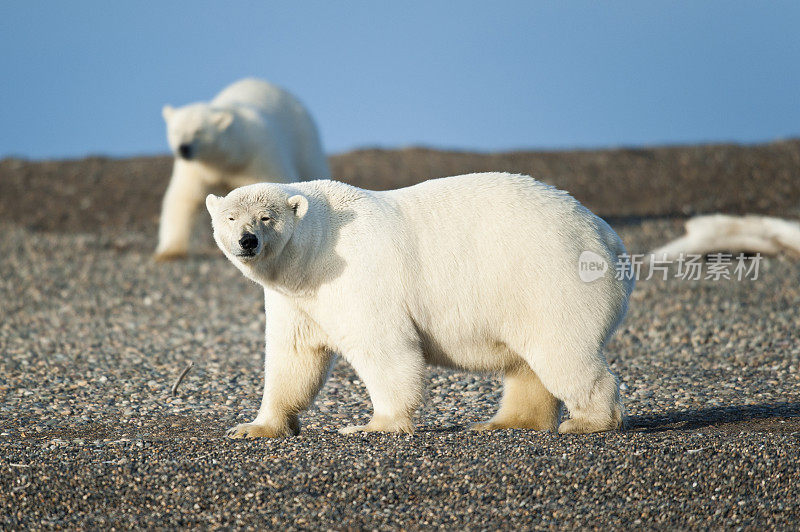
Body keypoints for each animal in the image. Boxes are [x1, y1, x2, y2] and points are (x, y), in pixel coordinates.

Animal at [155, 78, 330, 260]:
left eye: (199, 131)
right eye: (175, 131)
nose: (183, 148)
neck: (229, 159)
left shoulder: (259, 158)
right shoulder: (196, 169)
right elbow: (182, 199)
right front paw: (170, 252)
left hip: (303, 138)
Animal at [206, 172, 636, 438]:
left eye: (266, 217)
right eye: (231, 217)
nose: (247, 241)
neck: (318, 246)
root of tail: (608, 237)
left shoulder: (359, 275)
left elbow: (383, 346)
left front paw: (373, 425)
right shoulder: (297, 297)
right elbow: (293, 357)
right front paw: (253, 427)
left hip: (553, 280)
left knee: (561, 350)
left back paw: (588, 422)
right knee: (527, 362)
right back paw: (504, 422)